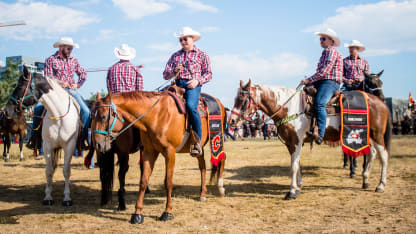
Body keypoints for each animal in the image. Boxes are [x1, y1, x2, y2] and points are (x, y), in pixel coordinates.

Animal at [32, 73, 81, 207]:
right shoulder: (47, 146)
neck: (58, 117)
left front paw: (67, 198)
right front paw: (48, 197)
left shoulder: (69, 145)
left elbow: (66, 170)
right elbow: (49, 170)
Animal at [91, 90, 228, 224]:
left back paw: (220, 187)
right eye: (92, 116)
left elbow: (168, 182)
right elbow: (143, 181)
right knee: (202, 166)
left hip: (218, 138)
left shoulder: (169, 152)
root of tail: (219, 102)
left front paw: (167, 212)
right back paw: (203, 194)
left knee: (221, 158)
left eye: (103, 117)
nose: (97, 144)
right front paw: (137, 214)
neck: (156, 116)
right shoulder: (149, 152)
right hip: (199, 148)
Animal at [229, 80, 392, 199]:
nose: (231, 121)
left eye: (243, 100)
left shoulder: (296, 141)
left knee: (383, 156)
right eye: (235, 99)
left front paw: (291, 192)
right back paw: (365, 180)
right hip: (368, 135)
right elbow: (297, 164)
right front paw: (298, 187)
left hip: (377, 135)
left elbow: (293, 166)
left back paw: (381, 185)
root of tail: (381, 102)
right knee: (372, 154)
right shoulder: (290, 143)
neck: (290, 108)